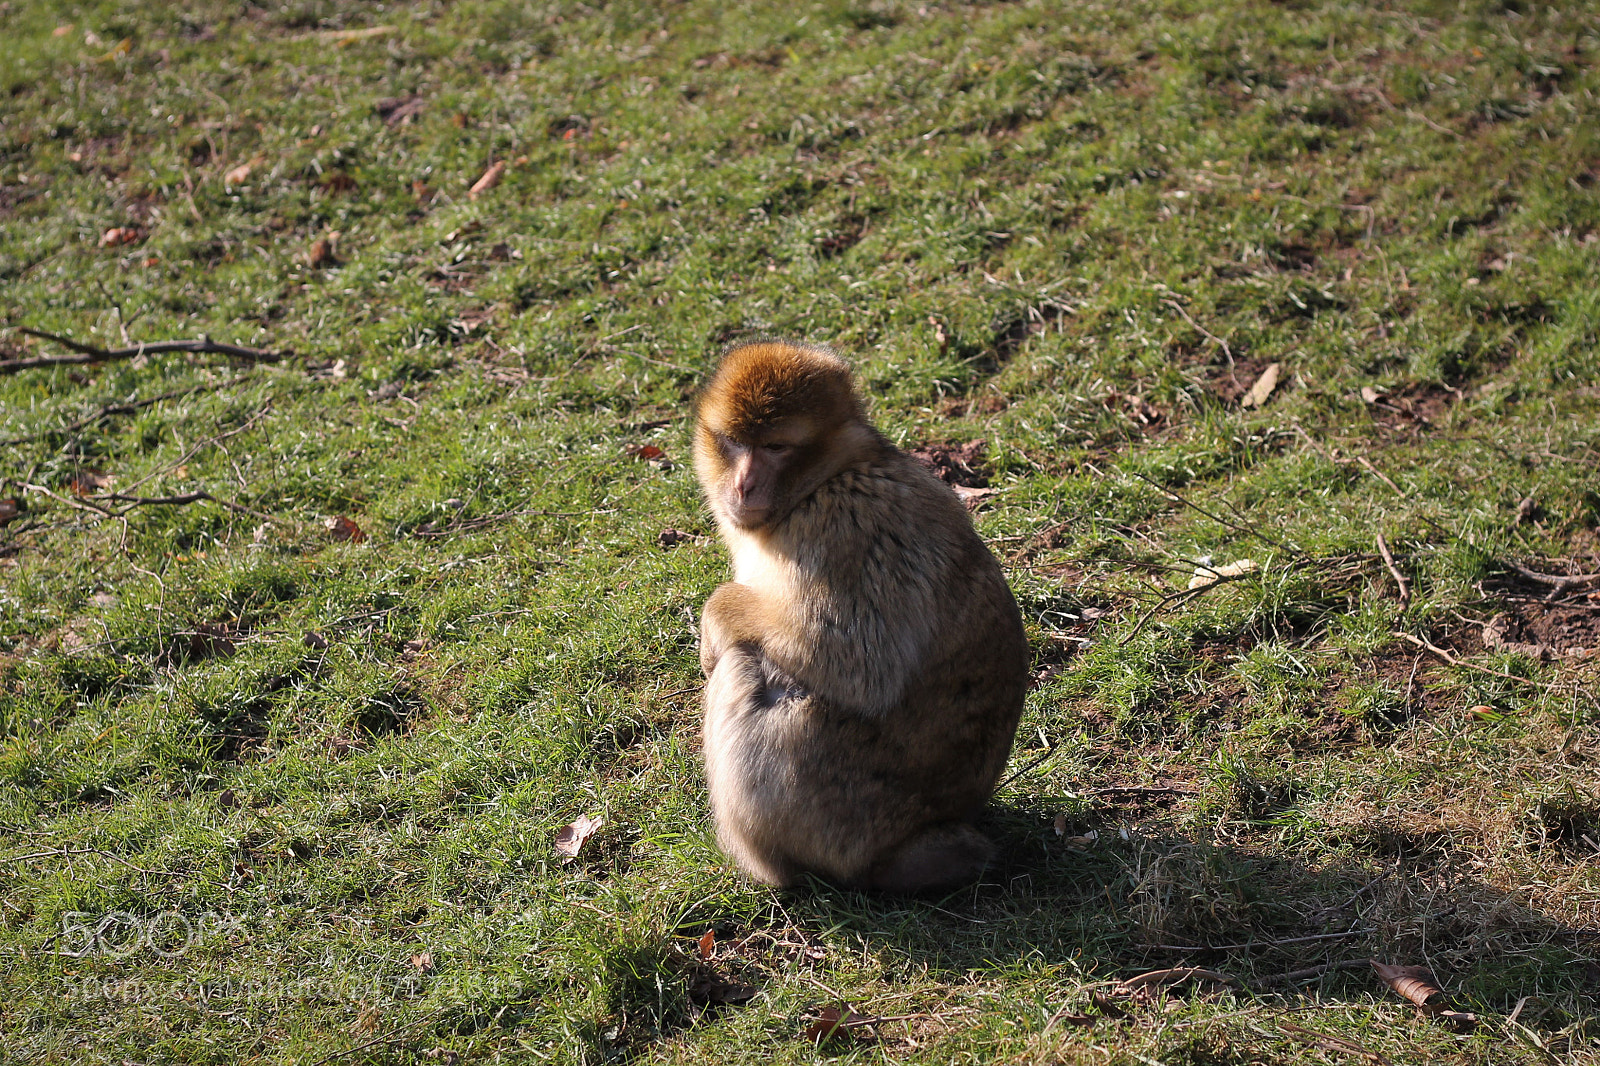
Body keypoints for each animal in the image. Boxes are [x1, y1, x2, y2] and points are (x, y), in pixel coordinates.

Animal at [693, 340, 1029, 894]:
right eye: (734, 443)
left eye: (776, 447)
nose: (743, 487)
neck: (824, 479)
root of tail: (916, 839)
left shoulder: (844, 525)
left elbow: (855, 664)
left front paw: (715, 617)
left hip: (833, 815)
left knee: (745, 667)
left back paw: (768, 872)